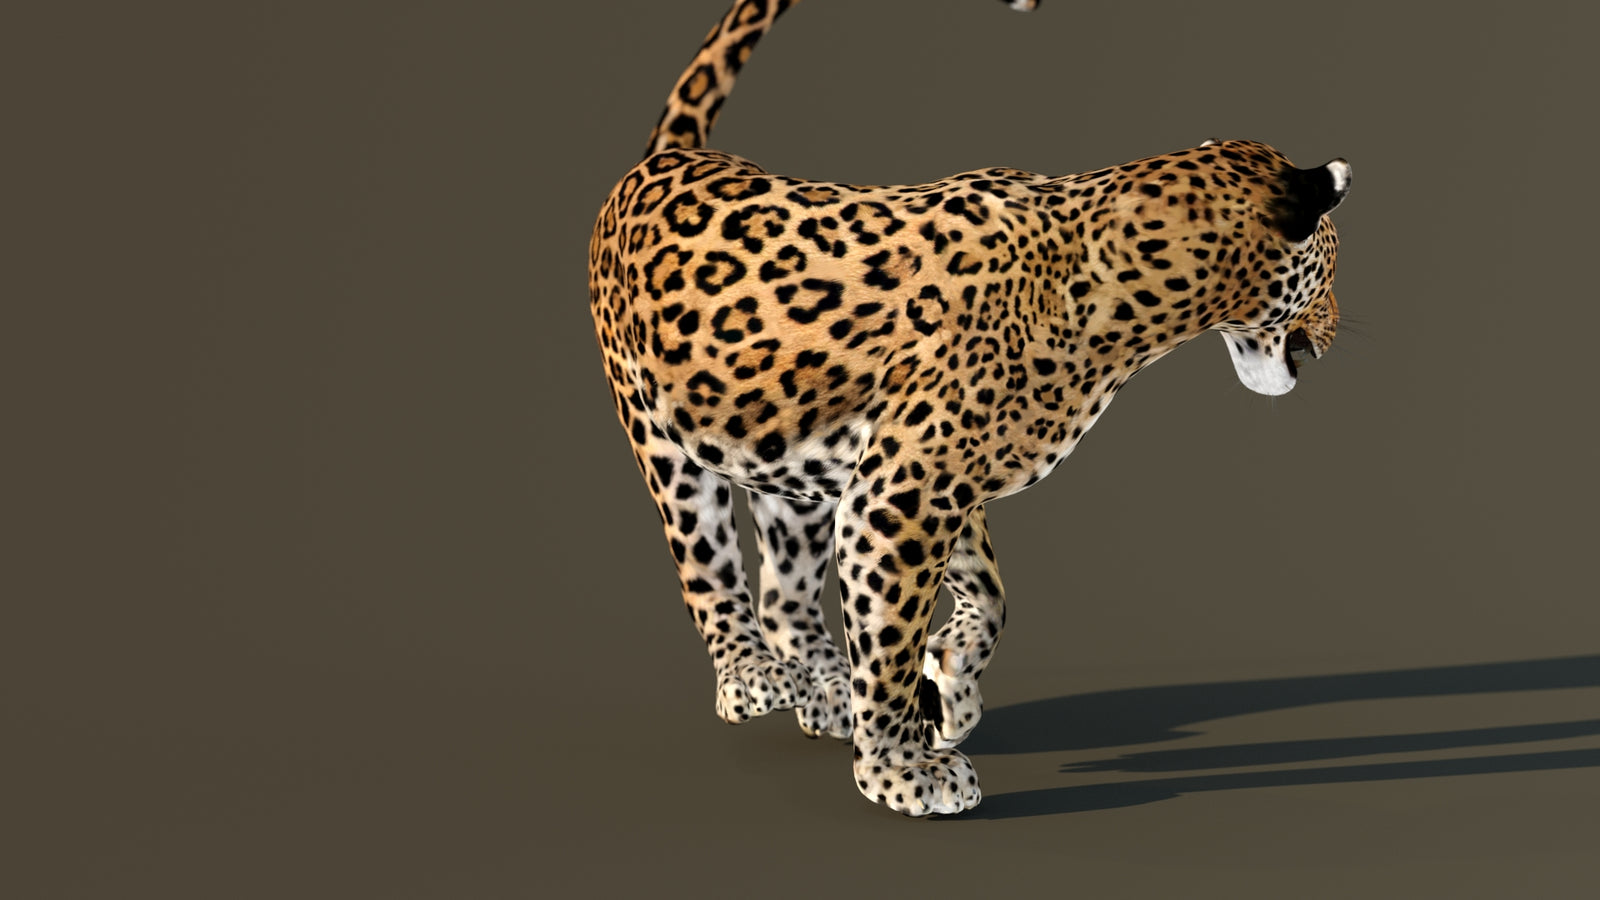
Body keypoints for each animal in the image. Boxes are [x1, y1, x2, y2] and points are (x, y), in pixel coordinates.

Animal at [587, 0, 1350, 817]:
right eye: (1331, 267)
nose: (1335, 335)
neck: (1133, 302)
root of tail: (659, 164)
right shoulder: (901, 496)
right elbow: (890, 636)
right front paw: (901, 768)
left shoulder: (924, 486)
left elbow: (991, 596)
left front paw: (948, 682)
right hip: (660, 437)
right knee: (706, 561)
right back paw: (753, 676)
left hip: (791, 468)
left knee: (785, 586)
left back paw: (823, 687)